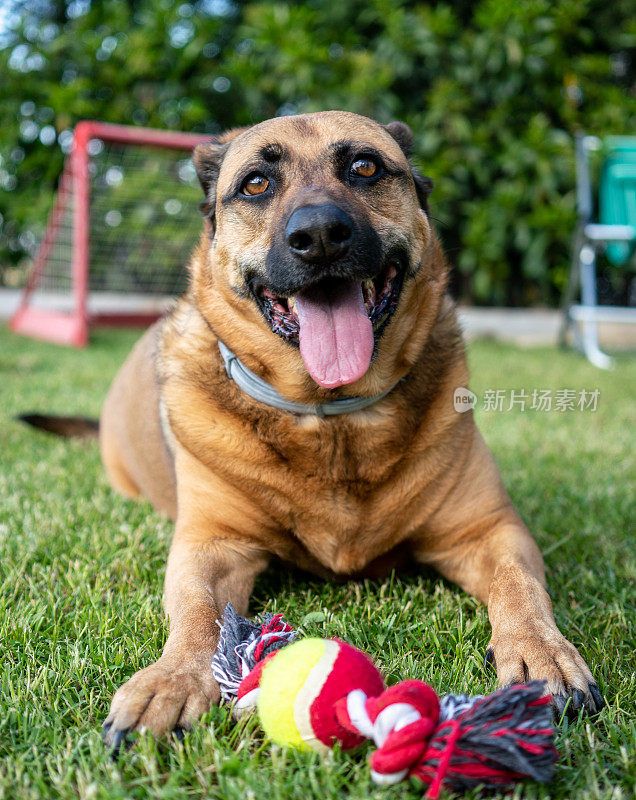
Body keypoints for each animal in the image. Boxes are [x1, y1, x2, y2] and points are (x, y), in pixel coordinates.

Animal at [24, 111, 604, 744]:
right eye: (255, 183)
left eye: (366, 167)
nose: (321, 234)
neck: (333, 418)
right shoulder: (211, 545)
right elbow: (198, 613)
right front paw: (171, 679)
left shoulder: (489, 531)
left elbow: (519, 587)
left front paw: (542, 654)